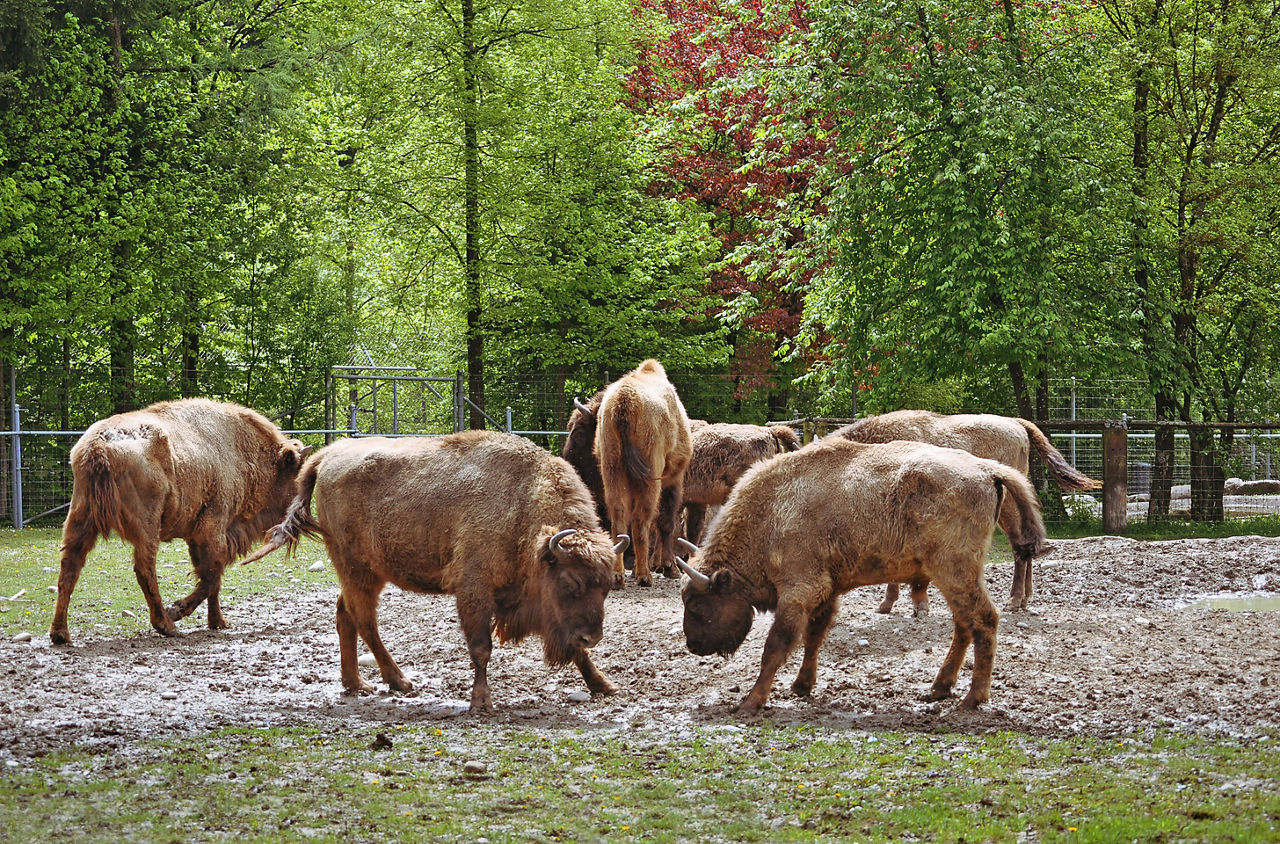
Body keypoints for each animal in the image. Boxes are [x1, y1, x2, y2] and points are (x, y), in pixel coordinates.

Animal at [50, 399, 312, 642]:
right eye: (297, 476)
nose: (300, 516)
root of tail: (97, 446)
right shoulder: (213, 529)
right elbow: (211, 576)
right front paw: (177, 610)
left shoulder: (197, 536)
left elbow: (211, 578)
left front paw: (218, 622)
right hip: (147, 525)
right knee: (144, 569)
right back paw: (166, 625)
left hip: (80, 518)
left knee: (70, 567)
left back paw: (60, 633)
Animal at [240, 430, 629, 712]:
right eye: (570, 582)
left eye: (608, 586)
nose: (593, 636)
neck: (523, 506)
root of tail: (329, 455)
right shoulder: (474, 590)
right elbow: (481, 648)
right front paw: (481, 702)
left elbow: (575, 652)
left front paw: (605, 685)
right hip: (357, 568)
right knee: (364, 619)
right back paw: (399, 681)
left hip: (364, 572)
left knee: (345, 613)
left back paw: (356, 683)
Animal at [591, 361, 691, 586]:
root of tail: (625, 400)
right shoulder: (673, 479)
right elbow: (666, 522)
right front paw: (669, 568)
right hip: (650, 475)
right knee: (641, 519)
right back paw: (644, 575)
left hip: (612, 469)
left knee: (619, 516)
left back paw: (618, 575)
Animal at [675, 438, 1044, 717]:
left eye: (697, 604)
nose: (694, 645)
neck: (771, 513)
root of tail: (987, 469)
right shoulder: (826, 591)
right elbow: (813, 637)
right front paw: (801, 686)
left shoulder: (798, 592)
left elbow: (776, 647)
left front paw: (750, 703)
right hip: (955, 576)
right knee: (965, 624)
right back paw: (939, 688)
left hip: (954, 571)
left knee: (984, 620)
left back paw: (971, 699)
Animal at [834, 409, 1095, 614]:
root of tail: (1017, 424)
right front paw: (888, 604)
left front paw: (915, 606)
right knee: (1028, 542)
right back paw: (1024, 599)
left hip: (1007, 503)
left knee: (1019, 544)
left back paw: (1013, 600)